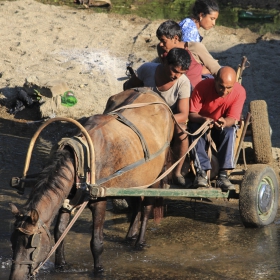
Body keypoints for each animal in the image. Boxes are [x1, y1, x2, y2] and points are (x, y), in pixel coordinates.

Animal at [9, 88, 175, 278]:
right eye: (12, 241)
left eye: (32, 245)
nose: (15, 277)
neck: (81, 159)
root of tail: (150, 92)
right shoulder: (67, 199)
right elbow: (60, 231)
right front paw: (61, 265)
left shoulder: (100, 201)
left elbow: (96, 241)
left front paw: (99, 270)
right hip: (133, 181)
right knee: (136, 205)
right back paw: (130, 236)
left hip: (156, 175)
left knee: (147, 207)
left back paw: (139, 242)